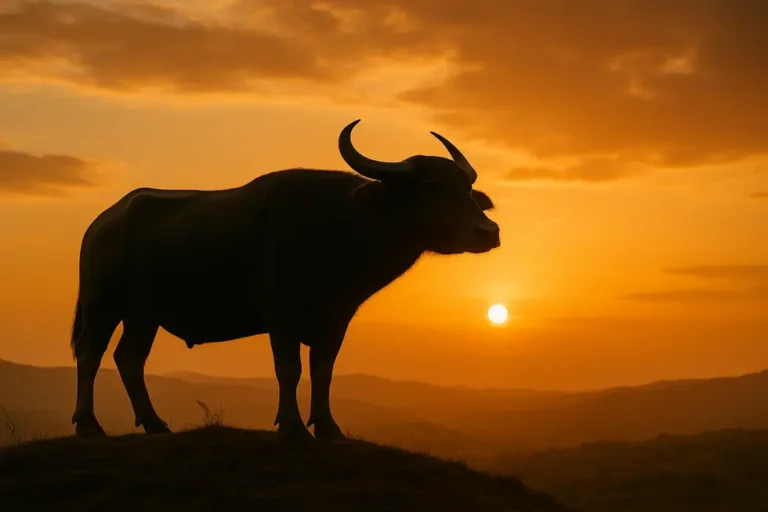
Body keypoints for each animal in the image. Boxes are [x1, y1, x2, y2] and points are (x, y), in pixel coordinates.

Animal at [70, 119, 501, 440]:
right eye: (431, 186)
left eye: (467, 189)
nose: (488, 231)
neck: (340, 228)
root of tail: (102, 222)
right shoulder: (281, 315)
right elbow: (289, 369)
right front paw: (292, 428)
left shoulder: (336, 319)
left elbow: (323, 371)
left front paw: (327, 427)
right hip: (102, 304)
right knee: (91, 354)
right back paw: (89, 426)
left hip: (144, 315)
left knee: (129, 358)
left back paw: (156, 424)